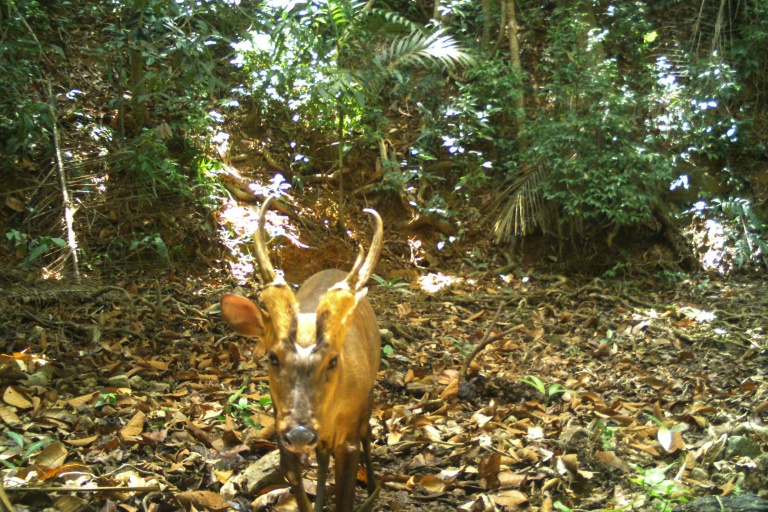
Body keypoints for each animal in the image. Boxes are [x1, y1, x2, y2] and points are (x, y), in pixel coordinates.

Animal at [220, 197, 382, 512]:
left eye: (333, 361)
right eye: (273, 358)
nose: (300, 434)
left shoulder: (348, 436)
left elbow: (345, 497)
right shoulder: (280, 421)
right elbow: (295, 476)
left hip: (369, 395)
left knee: (368, 433)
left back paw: (373, 489)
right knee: (322, 456)